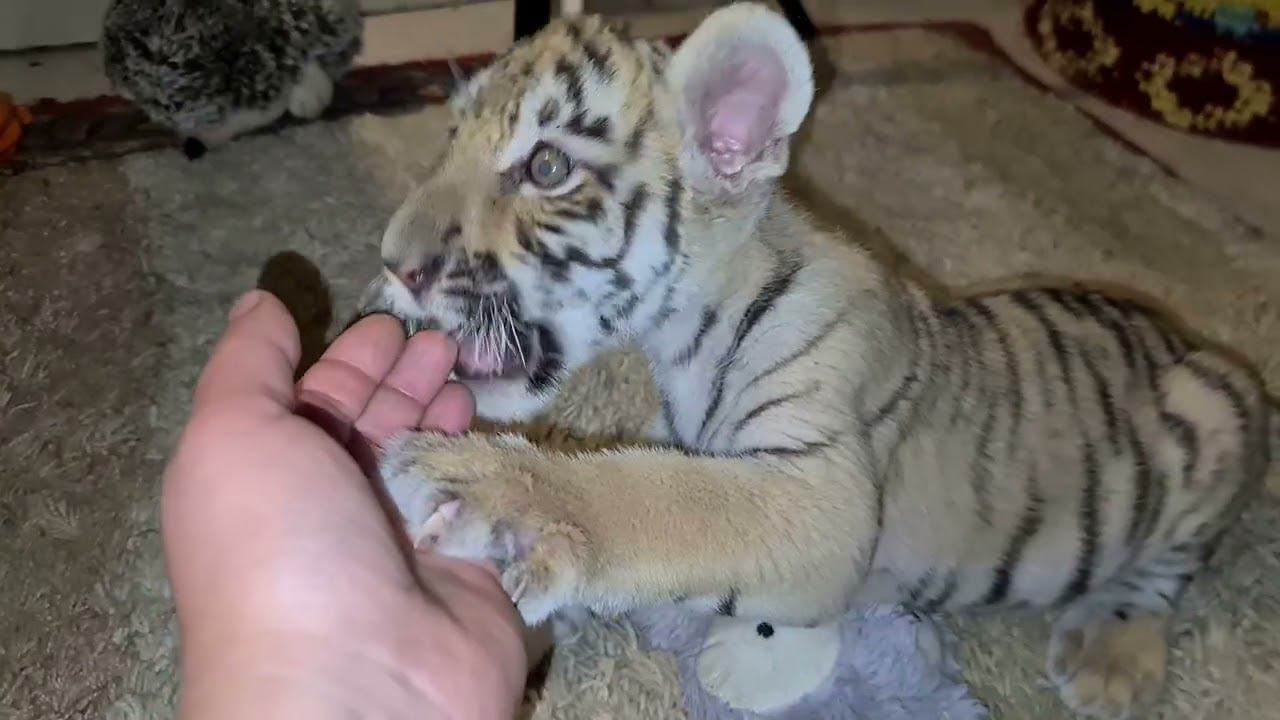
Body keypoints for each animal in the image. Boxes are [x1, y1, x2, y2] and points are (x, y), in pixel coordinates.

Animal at [355, 4, 1276, 718]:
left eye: (547, 166)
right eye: (451, 135)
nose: (394, 264)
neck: (678, 344)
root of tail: (1176, 332)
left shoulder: (824, 490)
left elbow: (658, 496)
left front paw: (490, 492)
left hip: (1216, 410)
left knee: (1168, 567)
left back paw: (1110, 658)